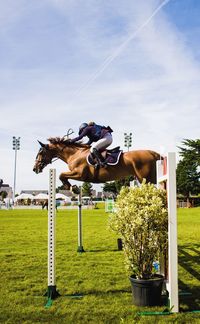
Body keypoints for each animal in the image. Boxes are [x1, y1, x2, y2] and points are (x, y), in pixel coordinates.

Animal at [32, 136, 161, 192]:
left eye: (41, 152)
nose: (35, 168)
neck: (74, 154)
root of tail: (153, 153)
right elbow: (62, 175)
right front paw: (72, 188)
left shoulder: (80, 174)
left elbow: (61, 175)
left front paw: (73, 188)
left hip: (146, 178)